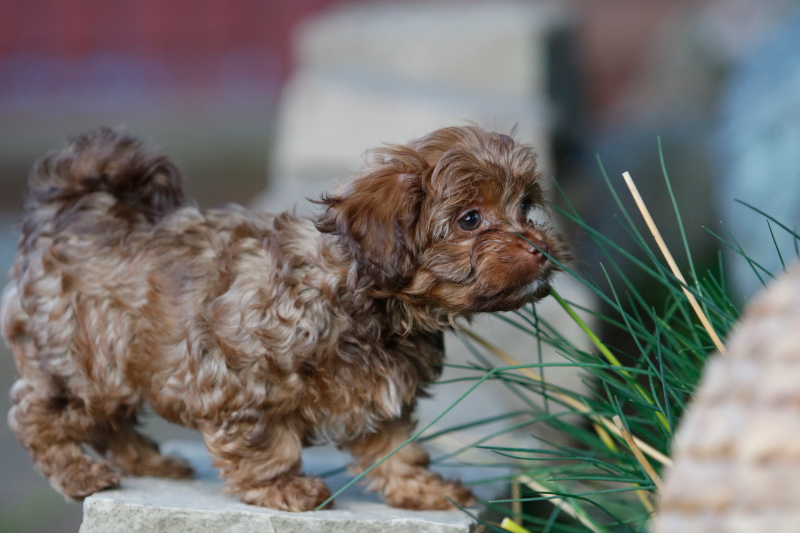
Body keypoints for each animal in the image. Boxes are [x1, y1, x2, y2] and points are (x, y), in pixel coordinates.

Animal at [1, 125, 564, 512]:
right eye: (470, 220)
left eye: (525, 206)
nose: (540, 250)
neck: (356, 294)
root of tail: (74, 213)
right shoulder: (243, 381)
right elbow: (265, 441)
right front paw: (282, 486)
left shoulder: (381, 392)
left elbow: (395, 444)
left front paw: (420, 487)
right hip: (84, 359)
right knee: (39, 417)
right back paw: (77, 472)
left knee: (112, 422)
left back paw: (151, 462)